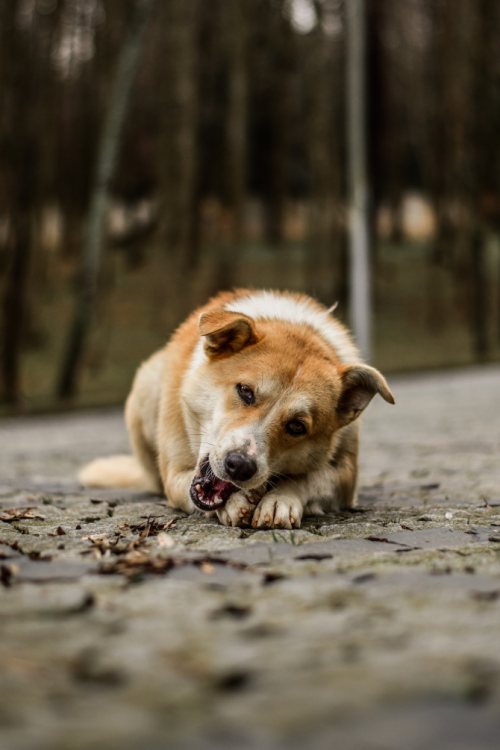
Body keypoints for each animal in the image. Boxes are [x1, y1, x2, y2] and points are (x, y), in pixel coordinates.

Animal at [80, 288, 394, 528]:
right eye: (245, 391)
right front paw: (235, 503)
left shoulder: (346, 476)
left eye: (297, 426)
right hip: (146, 385)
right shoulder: (174, 474)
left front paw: (280, 499)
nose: (240, 465)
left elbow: (310, 477)